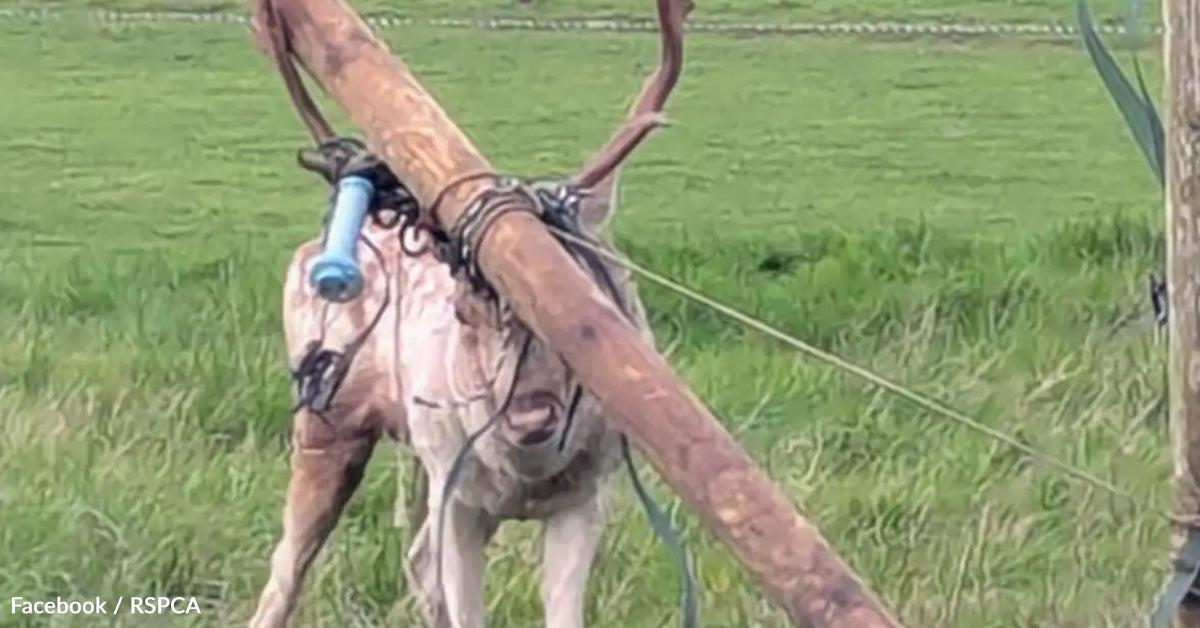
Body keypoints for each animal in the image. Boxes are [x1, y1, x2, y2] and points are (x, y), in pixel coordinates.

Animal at [246, 1, 691, 627]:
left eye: (583, 294)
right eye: (464, 306)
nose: (531, 414)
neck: (526, 477)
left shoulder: (586, 496)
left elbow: (560, 612)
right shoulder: (457, 495)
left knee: (412, 560)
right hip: (328, 419)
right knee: (288, 565)